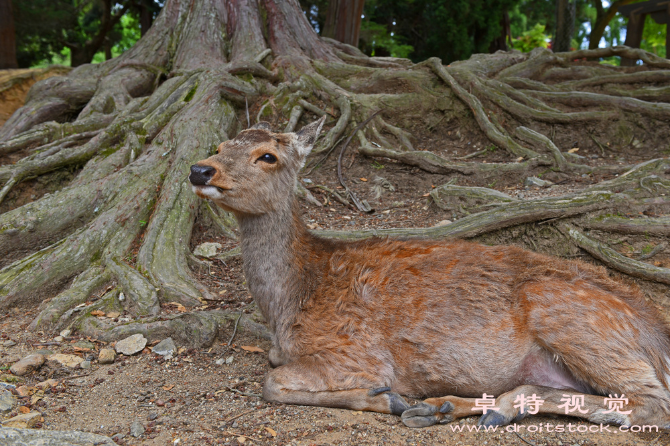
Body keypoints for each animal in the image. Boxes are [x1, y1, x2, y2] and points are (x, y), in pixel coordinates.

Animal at [189, 116, 670, 430]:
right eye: (221, 145)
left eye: (267, 155)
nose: (200, 168)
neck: (290, 301)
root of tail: (656, 332)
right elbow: (272, 367)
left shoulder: (355, 352)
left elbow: (271, 382)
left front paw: (384, 398)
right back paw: (449, 408)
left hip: (572, 318)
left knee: (653, 402)